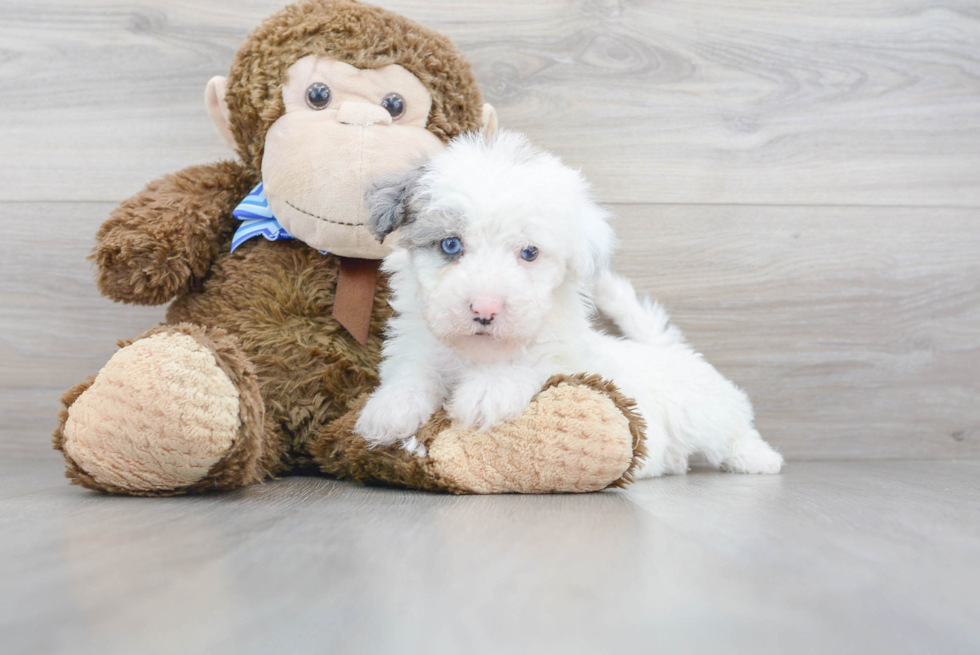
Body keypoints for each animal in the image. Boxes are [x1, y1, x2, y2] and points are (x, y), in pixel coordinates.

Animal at [352, 131, 780, 480]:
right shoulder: (418, 345)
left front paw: (489, 389)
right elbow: (413, 371)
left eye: (529, 253)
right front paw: (390, 408)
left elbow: (533, 363)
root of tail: (669, 350)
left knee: (733, 429)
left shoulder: (566, 360)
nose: (485, 309)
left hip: (704, 411)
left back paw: (758, 458)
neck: (478, 355)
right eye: (451, 245)